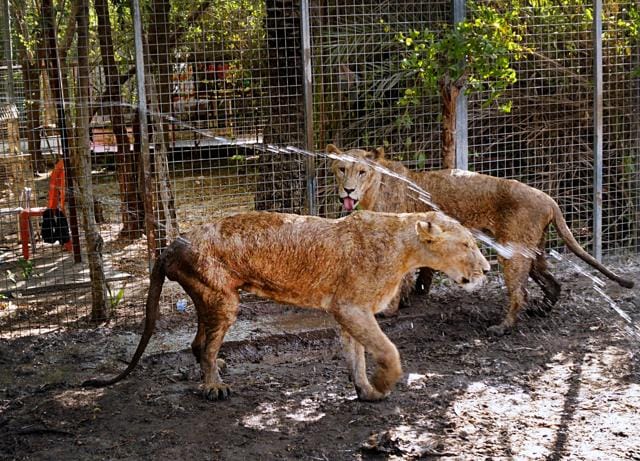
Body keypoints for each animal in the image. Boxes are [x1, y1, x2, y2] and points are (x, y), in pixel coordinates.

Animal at [84, 210, 489, 401]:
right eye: (467, 245)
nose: (486, 269)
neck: (405, 247)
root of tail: (171, 244)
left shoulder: (350, 310)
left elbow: (357, 354)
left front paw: (366, 390)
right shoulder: (351, 308)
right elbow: (388, 350)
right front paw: (382, 383)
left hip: (211, 297)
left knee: (198, 343)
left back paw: (214, 369)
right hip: (223, 299)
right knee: (205, 345)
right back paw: (213, 385)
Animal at [328, 144, 634, 336]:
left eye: (361, 171)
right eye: (341, 169)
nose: (348, 191)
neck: (375, 187)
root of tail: (549, 200)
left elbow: (397, 280)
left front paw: (390, 310)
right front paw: (410, 298)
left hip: (512, 251)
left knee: (520, 293)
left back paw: (503, 328)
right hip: (533, 251)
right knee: (553, 284)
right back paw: (541, 311)